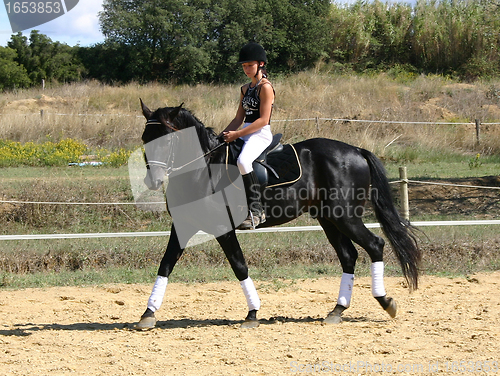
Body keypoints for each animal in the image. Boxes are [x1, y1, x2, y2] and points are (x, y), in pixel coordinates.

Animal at [135, 100, 420, 328]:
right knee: (348, 256)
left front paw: (252, 314)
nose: (153, 180)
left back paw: (385, 302)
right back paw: (337, 310)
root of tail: (356, 151)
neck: (201, 170)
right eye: (144, 138)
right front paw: (148, 314)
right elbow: (165, 265)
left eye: (167, 140)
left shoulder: (222, 229)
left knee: (375, 244)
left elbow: (239, 266)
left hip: (345, 217)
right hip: (328, 218)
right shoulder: (183, 227)